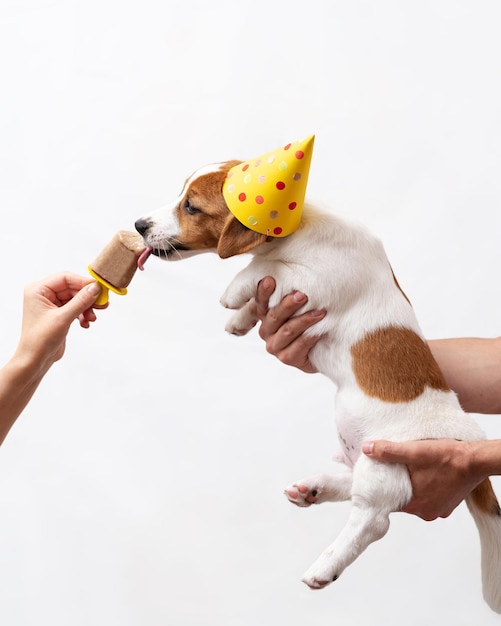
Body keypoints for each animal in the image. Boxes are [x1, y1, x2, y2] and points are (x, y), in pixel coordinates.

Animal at [133, 143, 500, 608]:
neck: (302, 225)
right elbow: (262, 288)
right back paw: (314, 488)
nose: (138, 225)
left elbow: (264, 273)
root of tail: (468, 438)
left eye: (191, 206)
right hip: (360, 457)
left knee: (374, 520)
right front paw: (240, 320)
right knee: (350, 482)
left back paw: (323, 569)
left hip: (384, 463)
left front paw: (234, 293)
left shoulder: (310, 281)